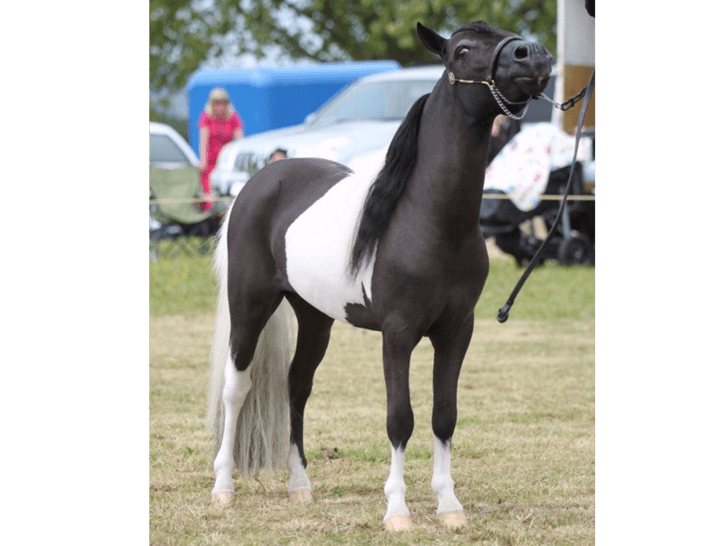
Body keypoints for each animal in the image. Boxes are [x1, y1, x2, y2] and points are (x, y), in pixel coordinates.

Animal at [207, 20, 552, 531]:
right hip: (249, 305)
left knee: (297, 386)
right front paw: (397, 511)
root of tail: (257, 184)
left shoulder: (457, 331)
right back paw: (223, 487)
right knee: (237, 389)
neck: (430, 221)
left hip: (314, 316)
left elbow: (444, 415)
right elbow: (399, 418)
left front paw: (449, 506)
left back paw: (300, 486)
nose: (536, 57)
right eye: (462, 49)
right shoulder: (398, 333)